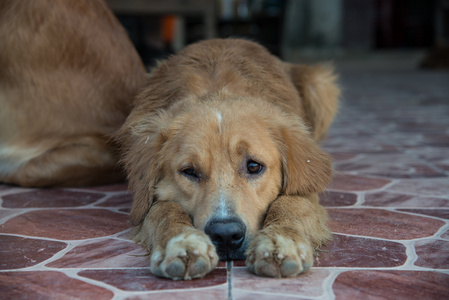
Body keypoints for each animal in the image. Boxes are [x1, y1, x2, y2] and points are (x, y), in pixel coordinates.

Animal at [116, 38, 340, 280]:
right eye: (189, 171)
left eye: (253, 166)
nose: (225, 235)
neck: (217, 91)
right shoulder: (146, 203)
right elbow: (163, 210)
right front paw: (182, 243)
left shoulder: (306, 190)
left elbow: (290, 204)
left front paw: (279, 241)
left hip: (320, 83)